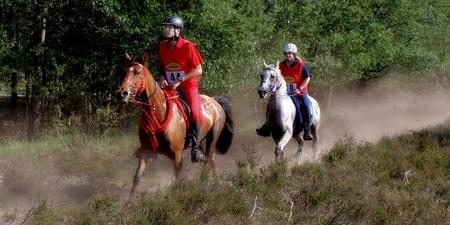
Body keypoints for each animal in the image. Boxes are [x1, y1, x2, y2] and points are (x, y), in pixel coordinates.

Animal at [118, 52, 234, 193]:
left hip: (213, 138)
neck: (158, 115)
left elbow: (178, 181)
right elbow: (137, 179)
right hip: (203, 140)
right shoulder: (145, 153)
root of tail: (214, 100)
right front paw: (130, 199)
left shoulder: (177, 156)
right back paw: (215, 183)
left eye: (138, 72)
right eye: (125, 72)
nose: (123, 93)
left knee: (207, 161)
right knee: (211, 160)